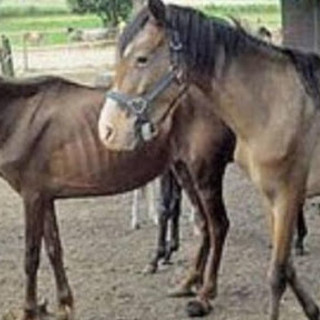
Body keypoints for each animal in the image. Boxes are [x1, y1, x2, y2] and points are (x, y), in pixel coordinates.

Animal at [97, 1, 320, 318]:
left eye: (142, 58)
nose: (107, 130)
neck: (275, 104)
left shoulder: (281, 192)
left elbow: (274, 272)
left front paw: (202, 292)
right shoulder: (267, 195)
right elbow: (286, 266)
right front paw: (312, 308)